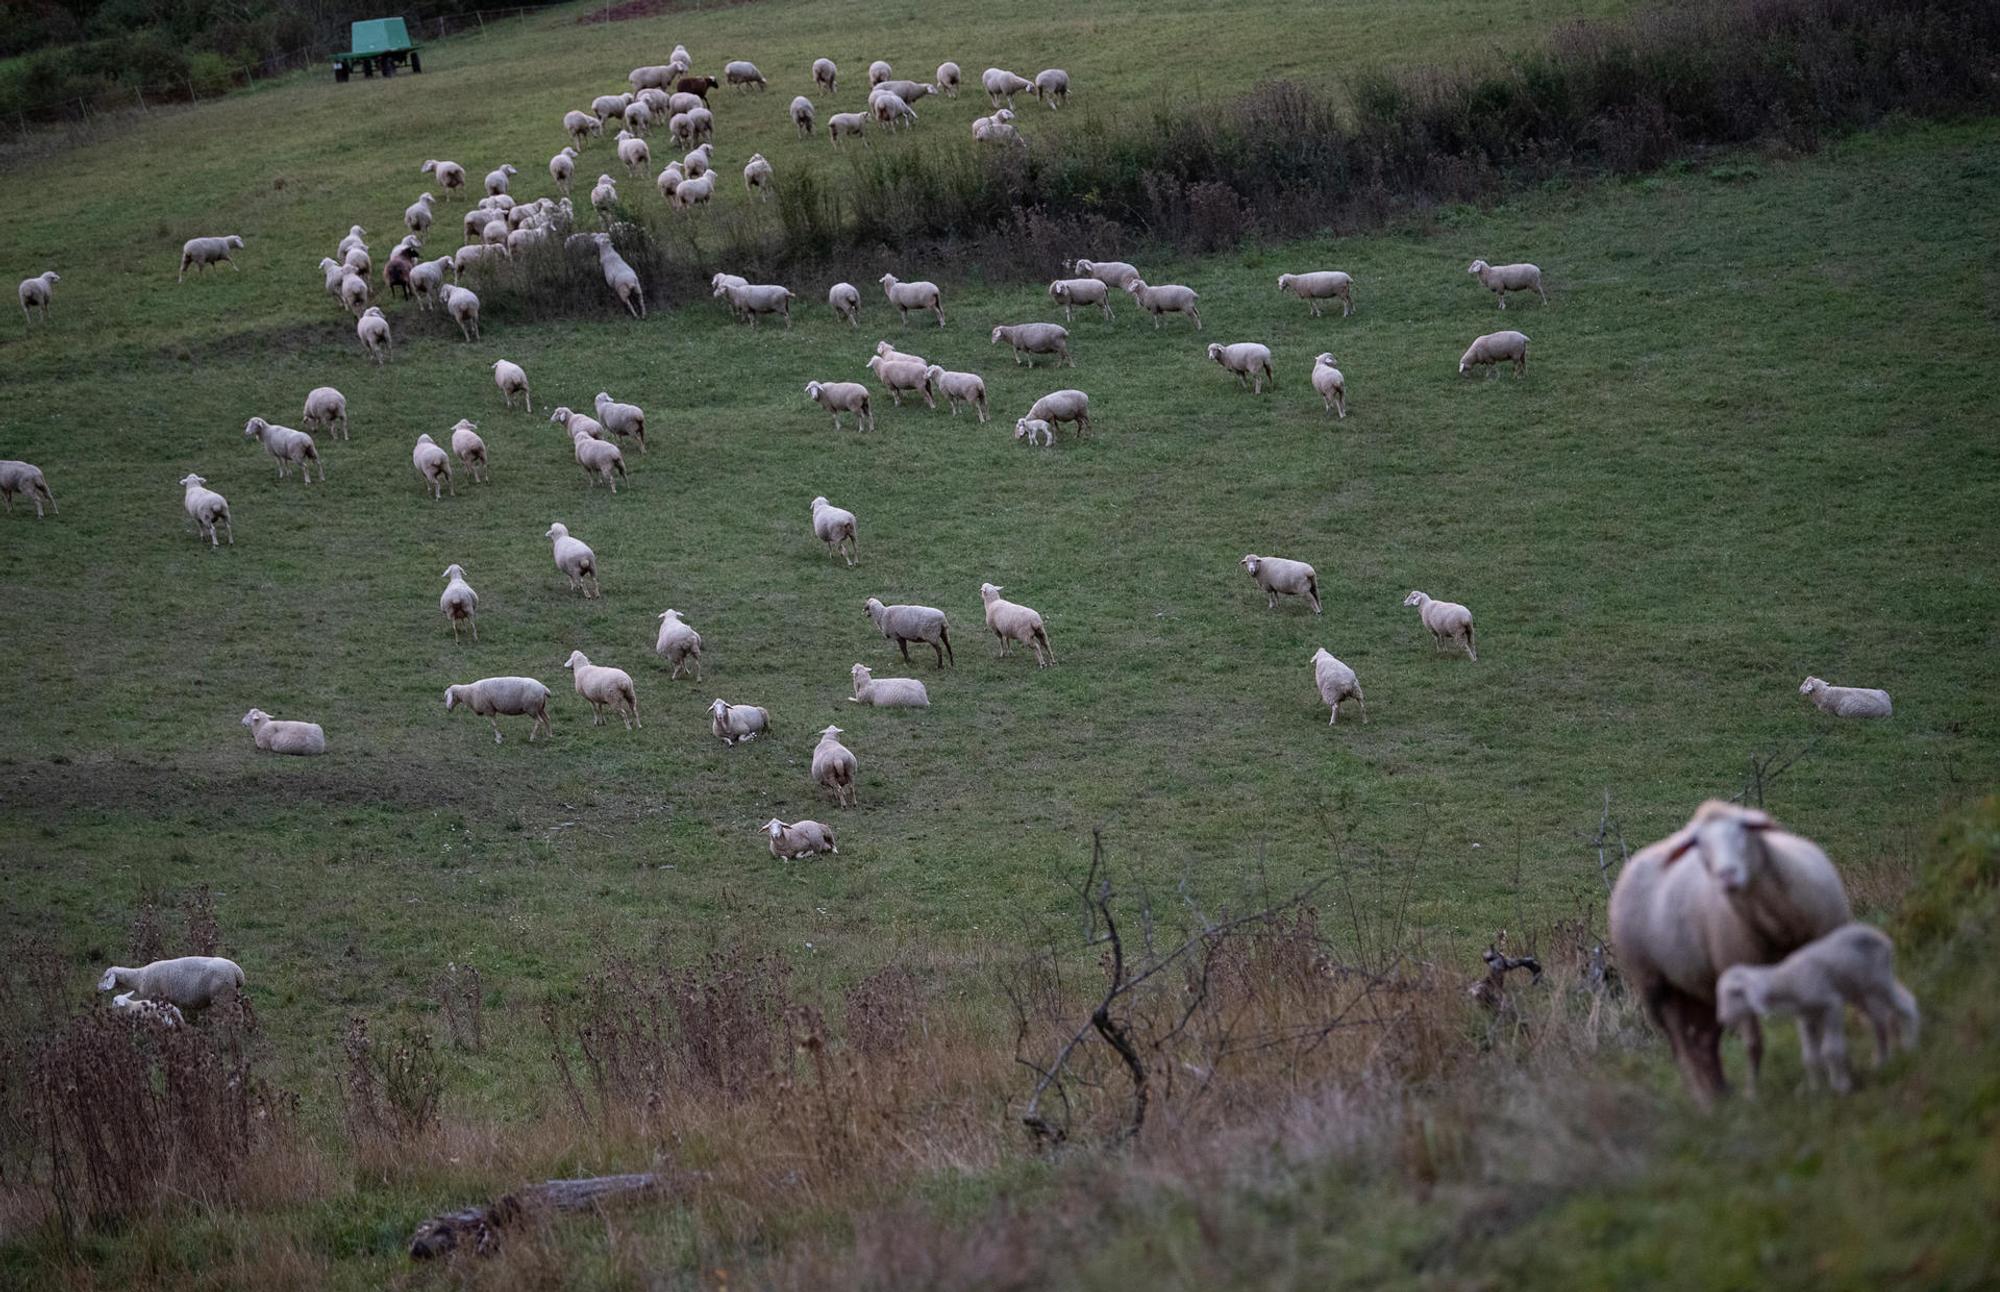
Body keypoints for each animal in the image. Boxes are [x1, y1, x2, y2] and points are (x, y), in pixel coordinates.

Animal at [97, 957, 244, 1013]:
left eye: (106, 977)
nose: (98, 988)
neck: (139, 977)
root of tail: (237, 971)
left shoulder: (154, 998)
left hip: (223, 996)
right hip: (232, 993)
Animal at [1608, 800, 1853, 1101]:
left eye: (1743, 829)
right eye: (1699, 844)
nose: (1726, 876)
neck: (1778, 925)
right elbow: (1754, 1041)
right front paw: (1755, 1094)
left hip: (1703, 986)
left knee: (1703, 1042)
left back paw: (1720, 1092)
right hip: (1658, 988)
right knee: (1683, 1049)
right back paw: (1705, 1100)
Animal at [1716, 924, 1918, 1094]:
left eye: (1734, 993)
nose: (1722, 1018)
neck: (1788, 981)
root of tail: (1881, 936)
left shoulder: (1832, 1005)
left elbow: (1831, 1049)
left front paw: (1841, 1086)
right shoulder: (1806, 1017)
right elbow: (1810, 1056)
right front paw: (1815, 1089)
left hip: (1880, 980)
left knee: (1905, 1003)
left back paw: (1911, 1046)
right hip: (1861, 990)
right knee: (1879, 1018)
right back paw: (1882, 1061)